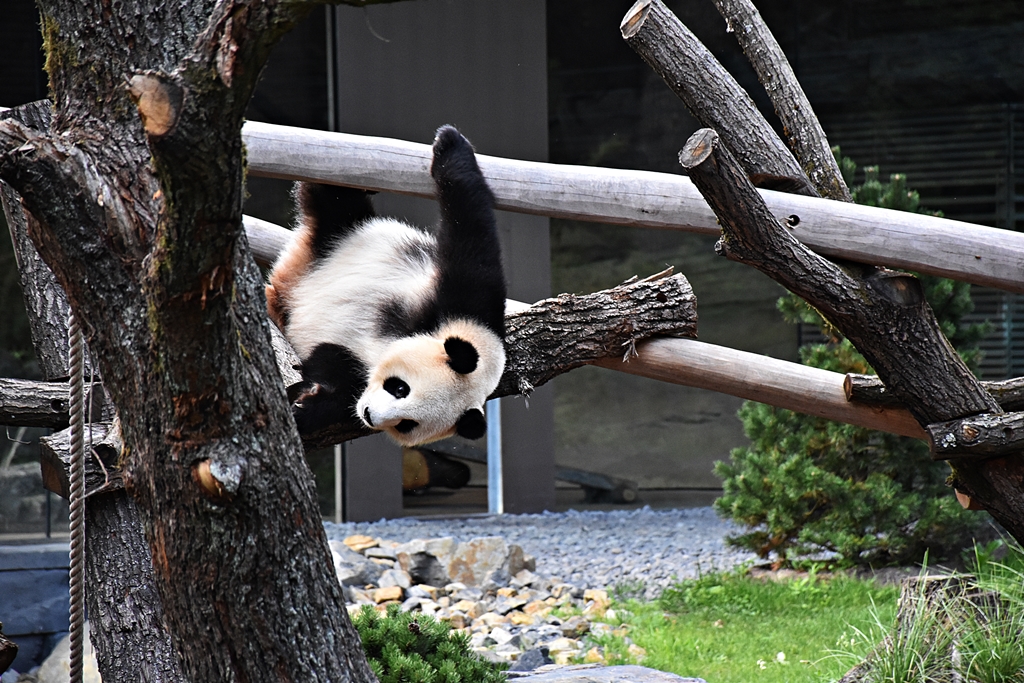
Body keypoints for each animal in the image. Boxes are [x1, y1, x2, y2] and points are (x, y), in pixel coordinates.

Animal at [265, 125, 507, 447]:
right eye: (401, 388)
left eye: (406, 424)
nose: (369, 414)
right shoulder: (469, 301)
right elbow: (472, 229)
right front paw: (451, 144)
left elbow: (337, 384)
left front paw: (307, 405)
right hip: (341, 234)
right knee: (334, 200)